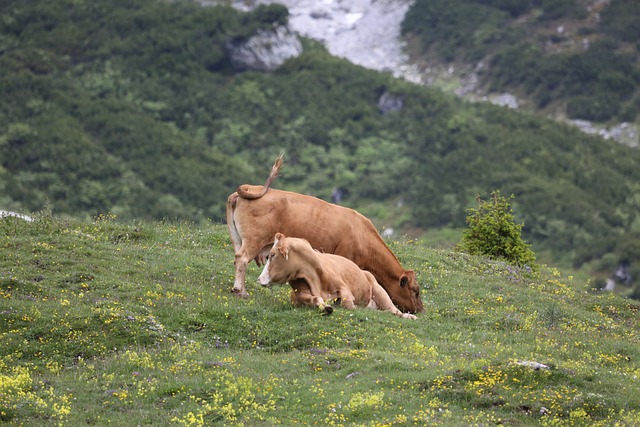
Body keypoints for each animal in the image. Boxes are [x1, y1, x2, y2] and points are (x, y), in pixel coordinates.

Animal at [258, 234, 418, 320]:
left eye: (272, 255)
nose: (259, 278)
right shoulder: (300, 294)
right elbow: (315, 299)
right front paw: (326, 307)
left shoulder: (343, 288)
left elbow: (347, 302)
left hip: (380, 292)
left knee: (393, 310)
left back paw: (409, 316)